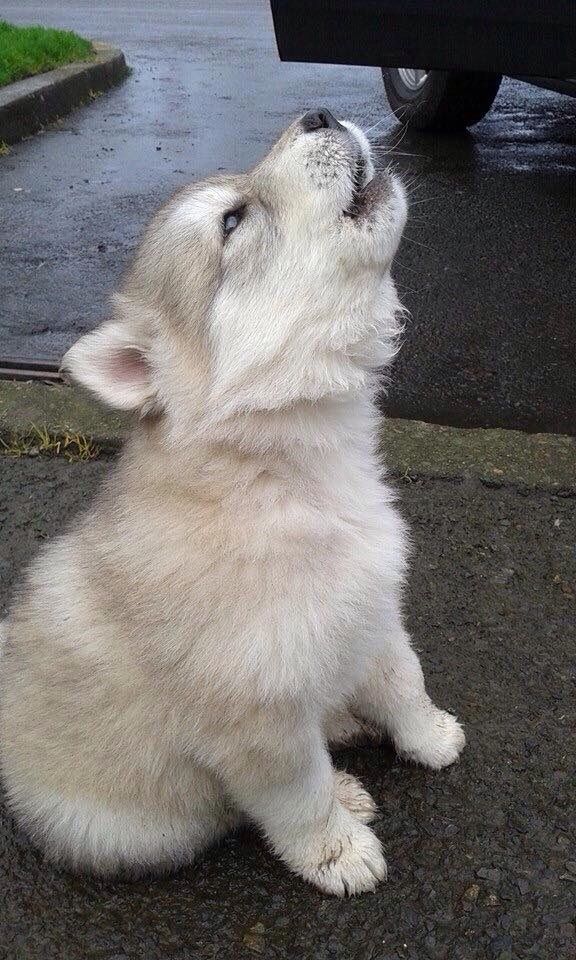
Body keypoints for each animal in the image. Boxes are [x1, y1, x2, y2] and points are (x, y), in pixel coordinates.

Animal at [0, 112, 464, 900]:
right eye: (233, 220)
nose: (317, 113)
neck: (286, 473)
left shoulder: (370, 609)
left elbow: (405, 678)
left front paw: (429, 735)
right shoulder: (256, 719)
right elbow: (297, 794)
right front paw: (337, 850)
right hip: (145, 824)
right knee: (238, 807)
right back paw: (345, 790)